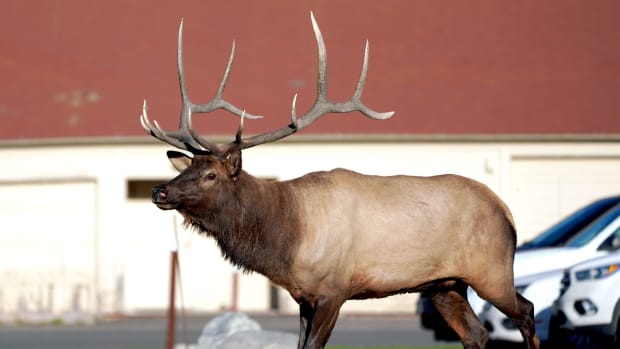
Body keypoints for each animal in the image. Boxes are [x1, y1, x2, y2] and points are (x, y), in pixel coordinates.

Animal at [140, 12, 536, 348]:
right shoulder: (303, 296)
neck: (285, 237)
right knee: (477, 334)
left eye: (210, 174)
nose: (160, 191)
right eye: (186, 168)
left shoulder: (334, 289)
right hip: (445, 285)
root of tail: (506, 211)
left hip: (492, 269)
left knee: (527, 312)